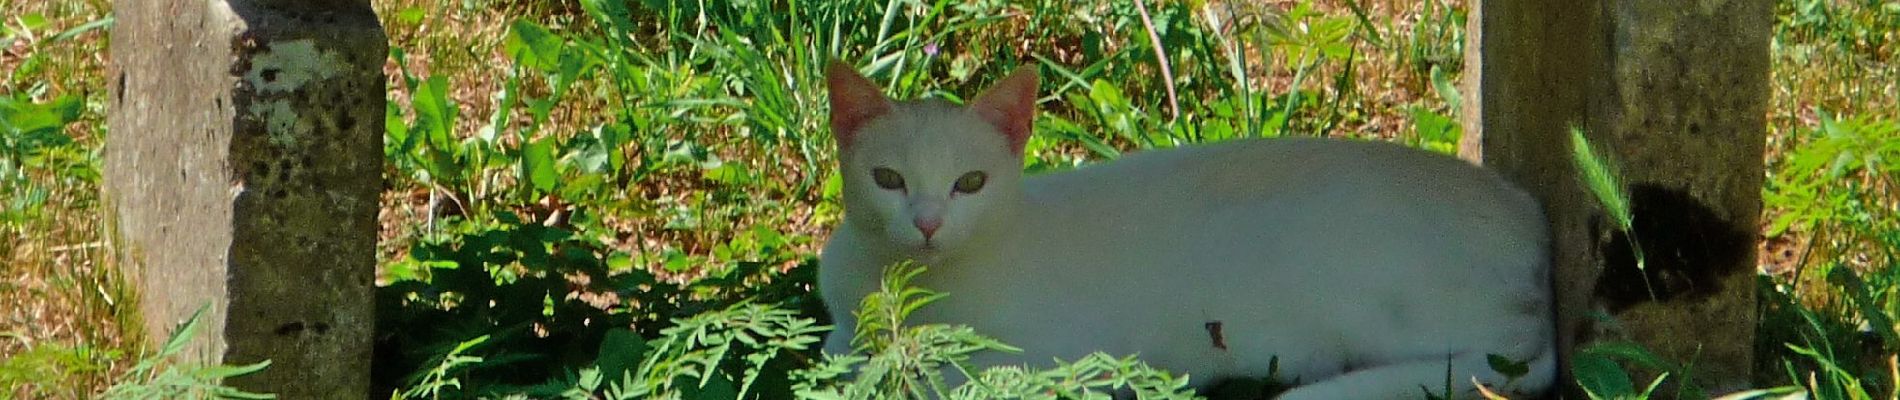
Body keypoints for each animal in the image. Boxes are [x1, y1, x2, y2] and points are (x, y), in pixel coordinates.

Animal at [809, 61, 1550, 398]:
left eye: (970, 183)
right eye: (888, 179)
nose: (927, 223)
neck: (899, 284)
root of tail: (1525, 211)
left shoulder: (1050, 355)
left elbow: (937, 374)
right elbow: (843, 346)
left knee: (1518, 358)